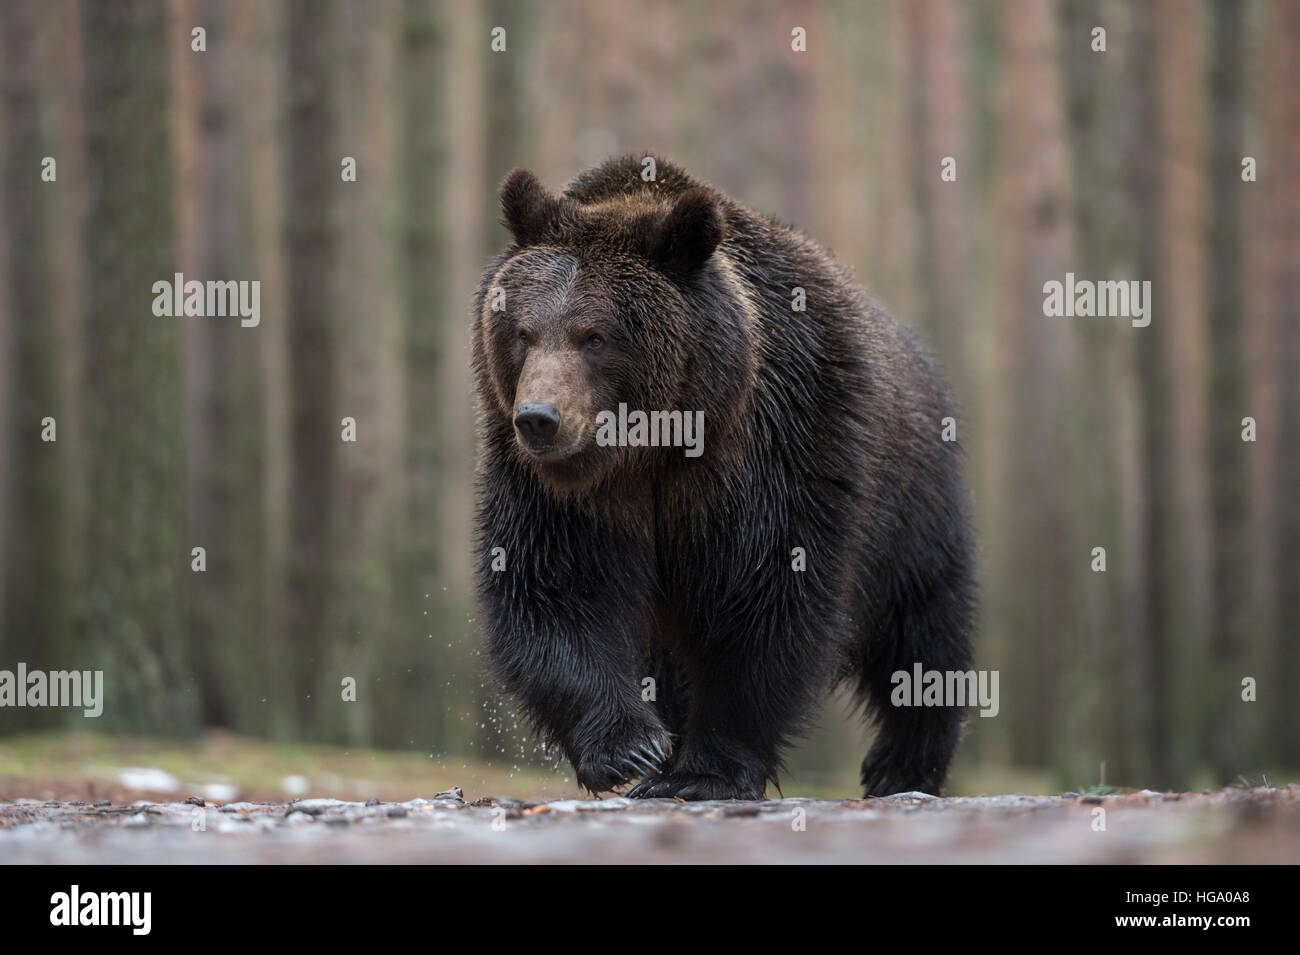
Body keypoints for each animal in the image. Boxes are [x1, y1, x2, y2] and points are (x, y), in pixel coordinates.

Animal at [473, 157, 972, 800]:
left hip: (912, 501)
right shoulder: (557, 493)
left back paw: (903, 763)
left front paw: (703, 772)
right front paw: (631, 749)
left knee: (922, 625)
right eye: (523, 332)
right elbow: (555, 588)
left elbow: (765, 605)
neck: (653, 449)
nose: (539, 418)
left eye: (595, 336)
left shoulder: (781, 448)